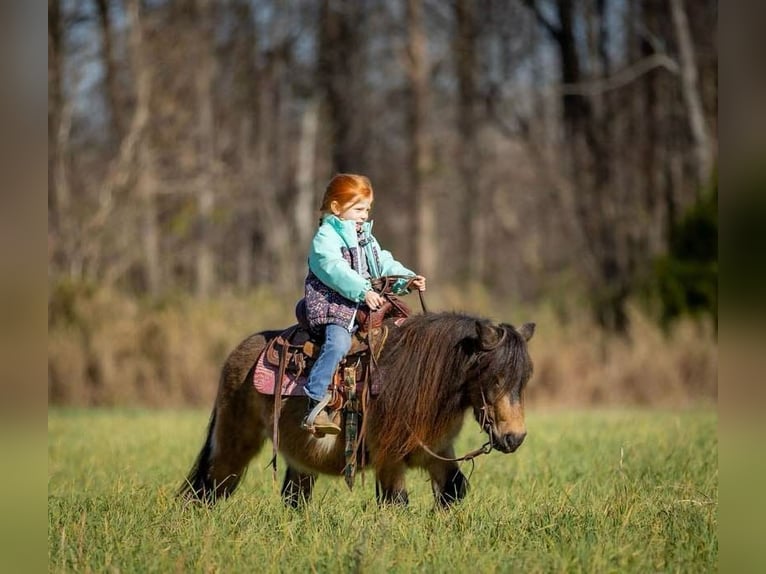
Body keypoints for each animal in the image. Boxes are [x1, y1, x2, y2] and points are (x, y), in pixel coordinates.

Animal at [179, 286, 536, 508]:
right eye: (495, 377)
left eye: (524, 380)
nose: (515, 438)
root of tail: (237, 356)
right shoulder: (389, 460)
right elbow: (396, 502)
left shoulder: (436, 452)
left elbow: (454, 490)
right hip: (233, 445)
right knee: (209, 487)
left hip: (299, 461)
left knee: (293, 497)